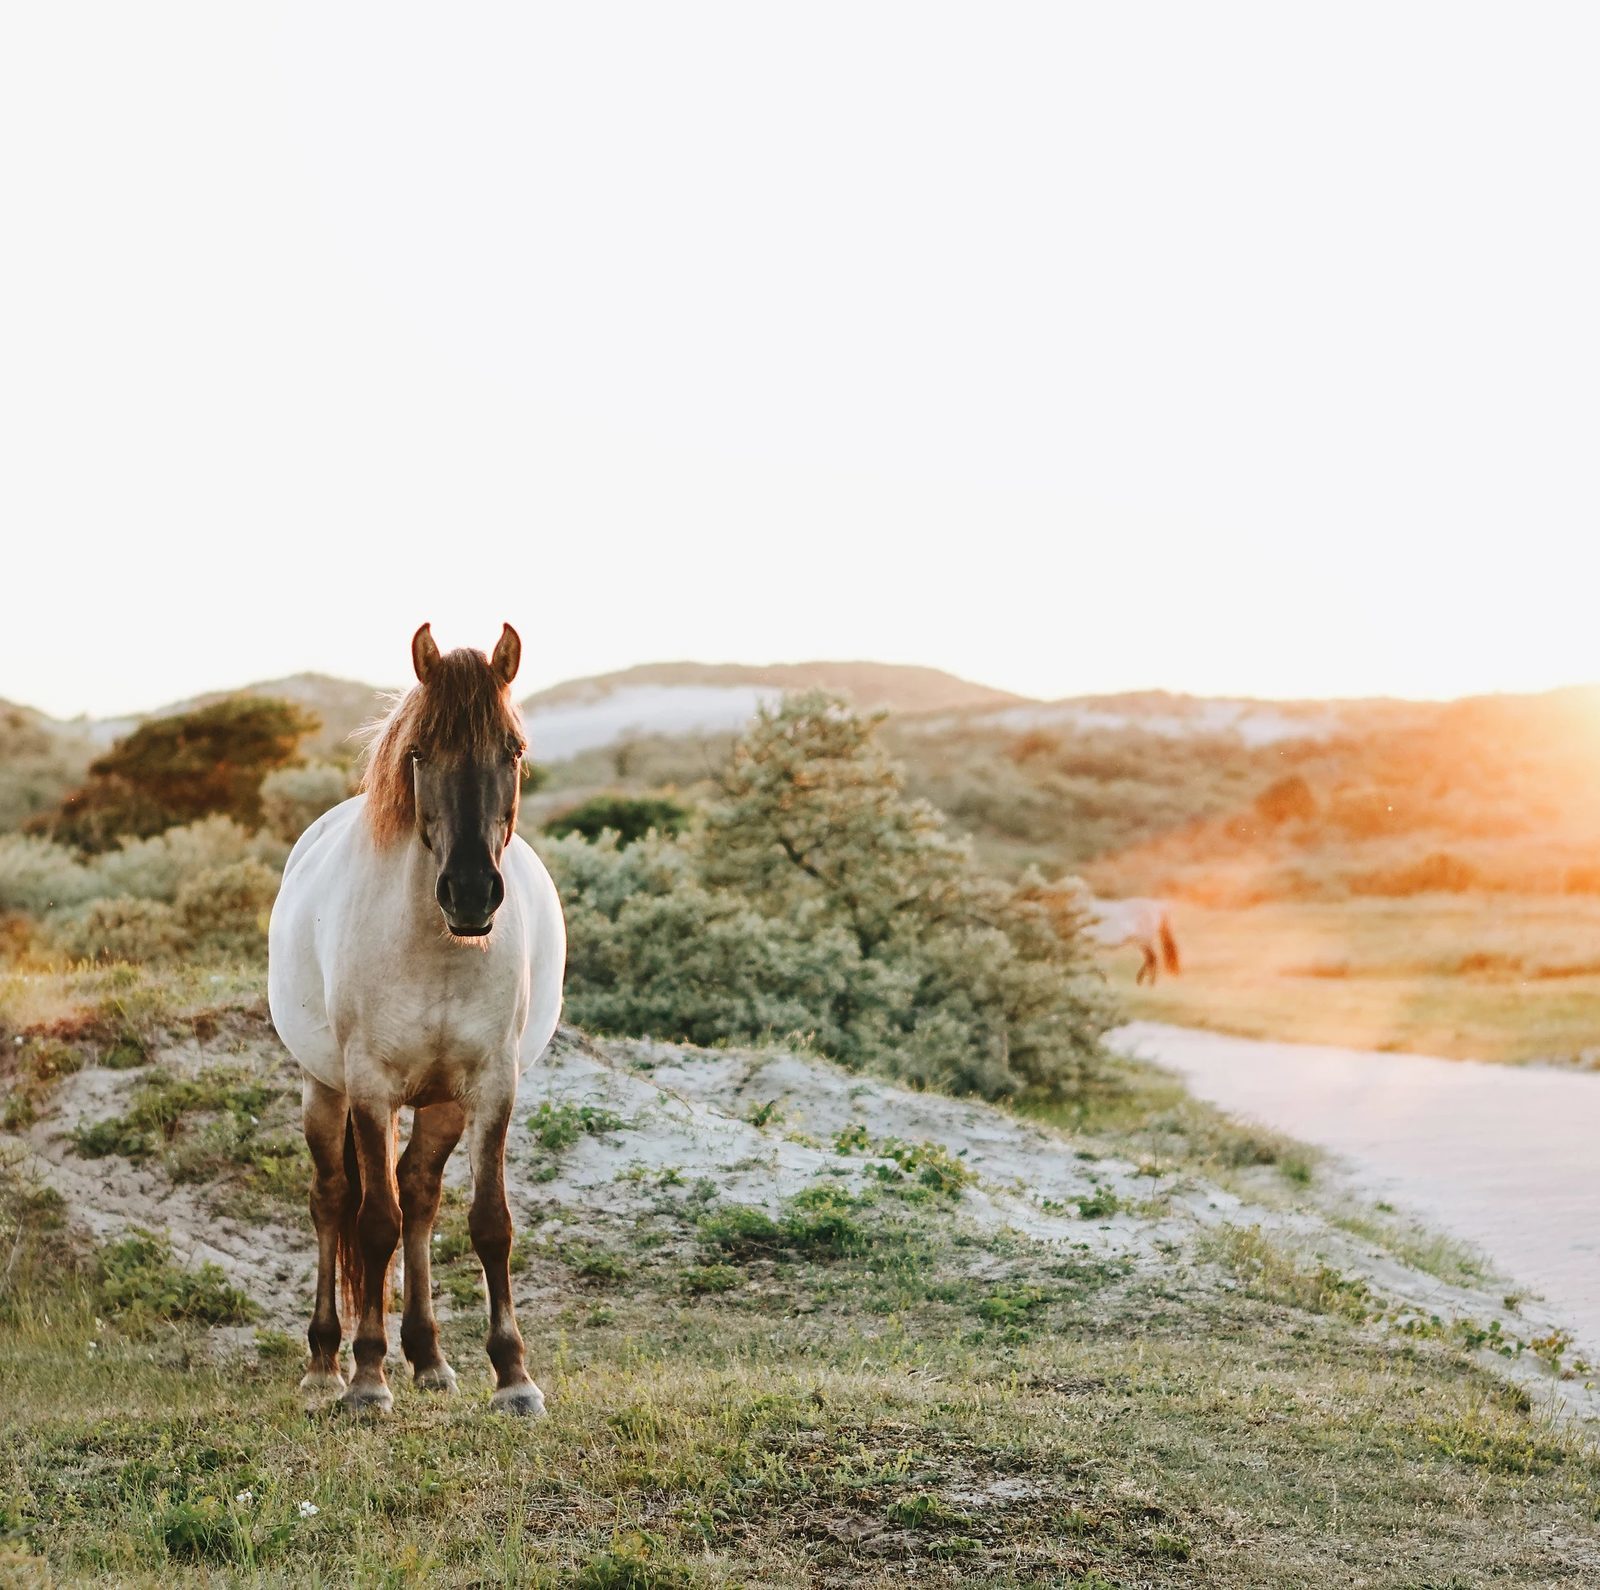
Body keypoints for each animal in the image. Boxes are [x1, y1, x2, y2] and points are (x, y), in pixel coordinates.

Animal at [262, 623, 563, 1414]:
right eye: (422, 752)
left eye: (512, 750)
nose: (471, 892)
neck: (438, 948)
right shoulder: (370, 1087)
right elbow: (374, 1224)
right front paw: (368, 1380)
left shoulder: (491, 1087)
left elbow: (489, 1224)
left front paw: (513, 1377)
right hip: (324, 1087)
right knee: (334, 1200)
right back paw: (326, 1364)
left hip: (440, 1103)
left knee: (421, 1195)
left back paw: (429, 1357)